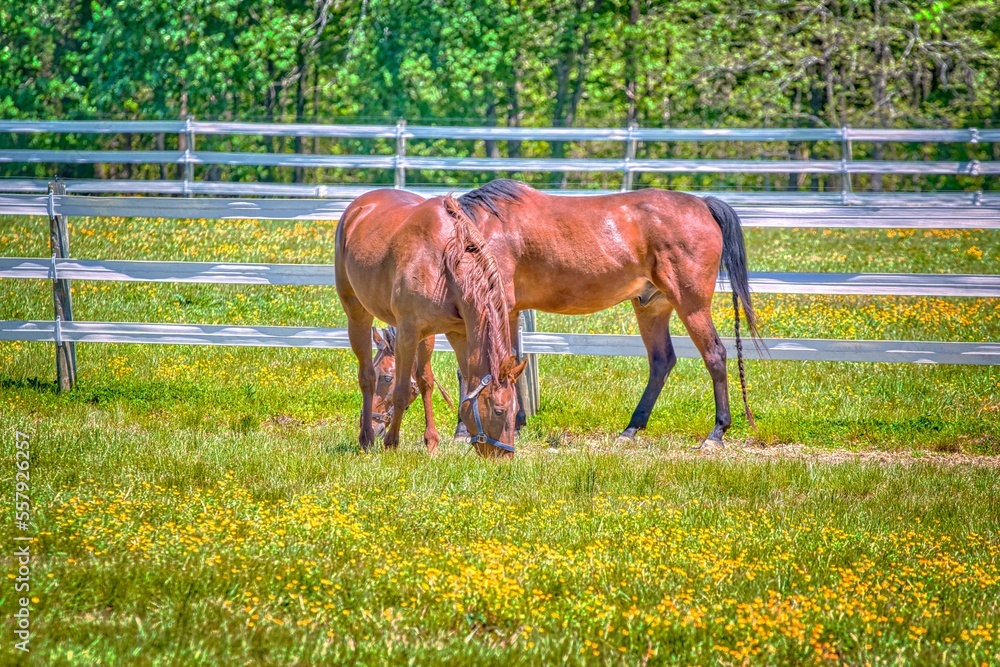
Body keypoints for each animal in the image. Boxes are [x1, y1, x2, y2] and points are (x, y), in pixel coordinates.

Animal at [335, 189, 526, 457]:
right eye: (499, 410)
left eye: (515, 408)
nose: (504, 456)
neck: (448, 263)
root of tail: (357, 207)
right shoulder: (408, 332)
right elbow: (402, 391)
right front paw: (391, 443)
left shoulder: (448, 334)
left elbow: (426, 382)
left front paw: (432, 442)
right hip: (356, 313)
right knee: (366, 376)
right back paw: (366, 438)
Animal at [448, 179, 760, 447]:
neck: (479, 231)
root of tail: (704, 204)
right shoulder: (510, 313)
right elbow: (509, 363)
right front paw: (515, 423)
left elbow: (472, 368)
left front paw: (464, 430)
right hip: (652, 307)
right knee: (661, 361)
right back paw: (631, 429)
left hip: (691, 304)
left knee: (715, 355)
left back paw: (716, 433)